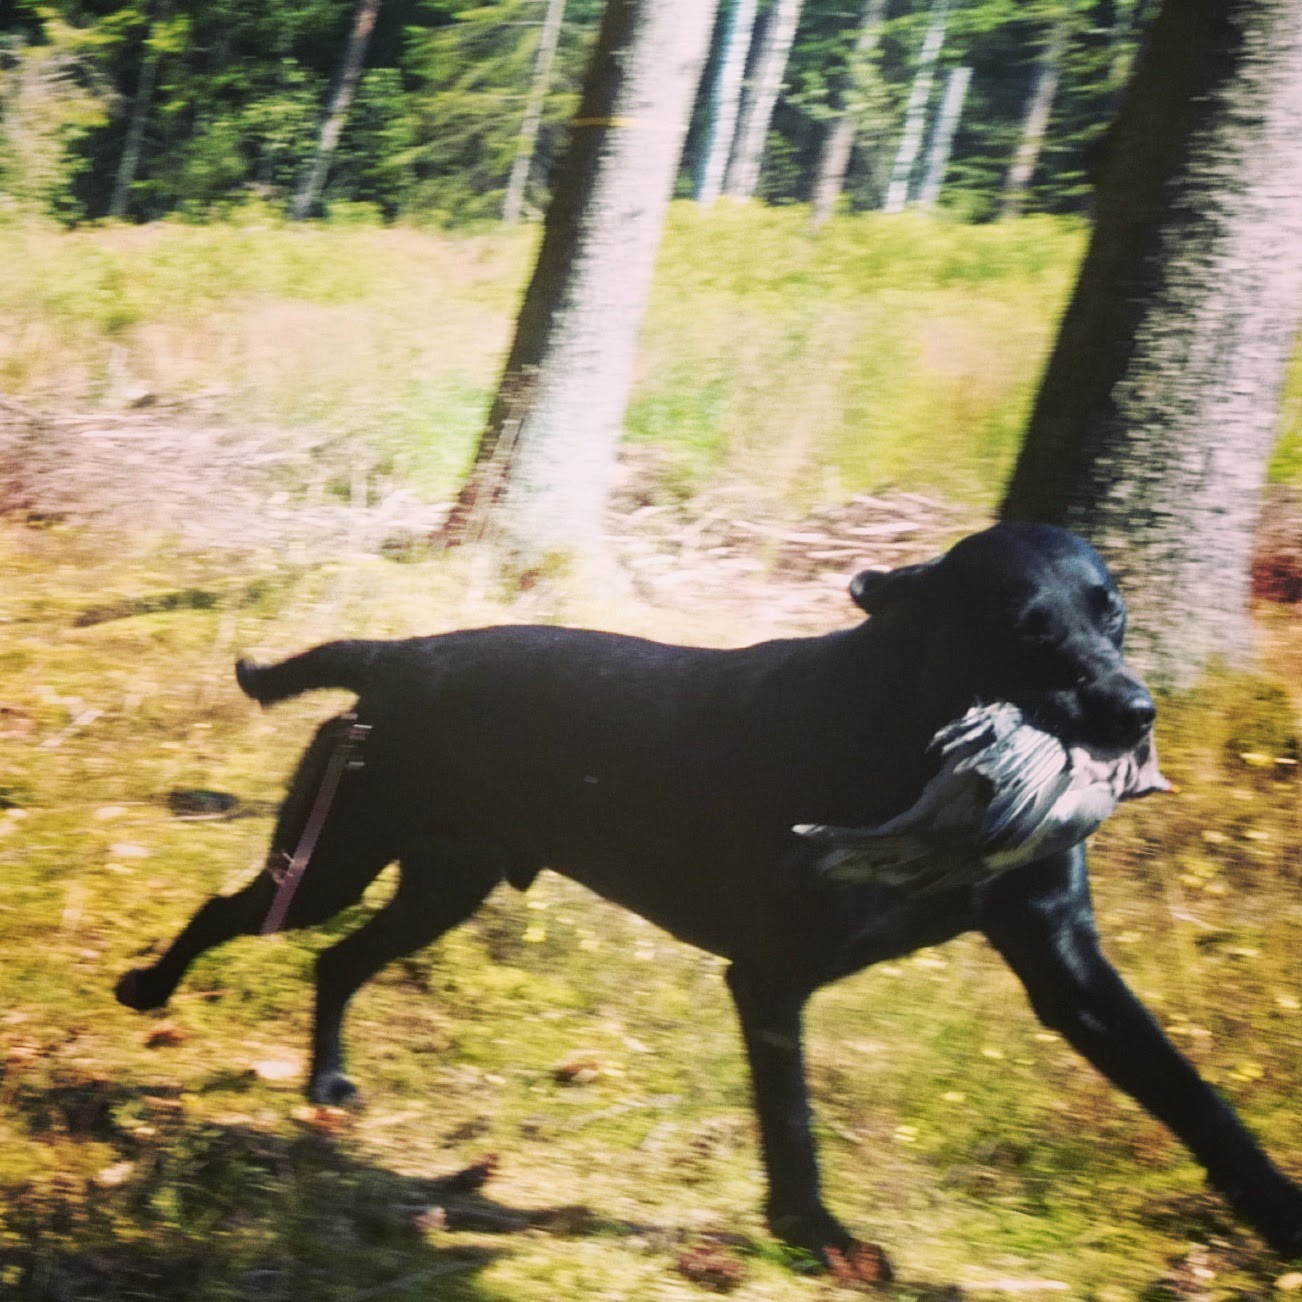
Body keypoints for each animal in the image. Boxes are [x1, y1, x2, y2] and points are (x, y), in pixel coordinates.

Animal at [115, 521, 1302, 1265]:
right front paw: (816, 1234)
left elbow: (1192, 1094)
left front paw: (1280, 1211)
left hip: (441, 885)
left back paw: (326, 1082)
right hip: (336, 861)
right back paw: (148, 990)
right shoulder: (771, 979)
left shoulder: (1068, 966)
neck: (902, 731)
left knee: (335, 961)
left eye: (1113, 612)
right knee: (234, 917)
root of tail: (396, 655)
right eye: (1020, 622)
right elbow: (793, 1122)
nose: (1133, 711)